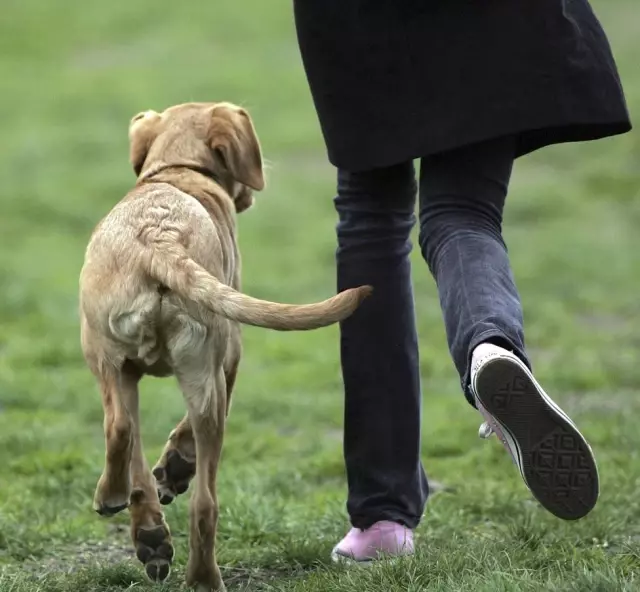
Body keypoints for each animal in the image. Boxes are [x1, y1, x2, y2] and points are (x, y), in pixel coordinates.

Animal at [79, 103, 370, 592]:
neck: (178, 170)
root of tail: (158, 238)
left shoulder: (139, 370)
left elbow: (138, 451)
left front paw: (153, 523)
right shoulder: (229, 359)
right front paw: (174, 473)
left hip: (111, 358)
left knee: (127, 434)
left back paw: (148, 530)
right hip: (197, 369)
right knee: (200, 495)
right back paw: (195, 567)